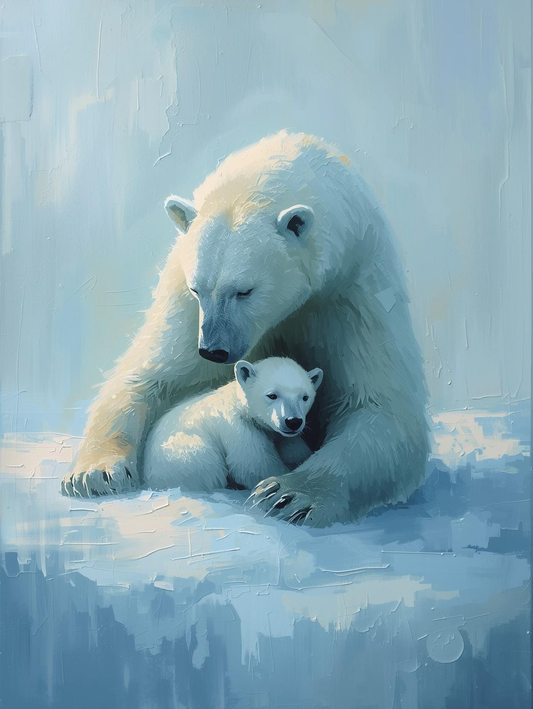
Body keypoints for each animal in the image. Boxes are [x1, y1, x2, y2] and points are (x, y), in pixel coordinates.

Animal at [143, 357, 323, 509]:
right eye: (272, 395)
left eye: (305, 397)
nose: (293, 421)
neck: (242, 406)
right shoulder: (240, 429)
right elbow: (254, 465)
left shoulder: (281, 436)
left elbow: (294, 450)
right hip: (189, 458)